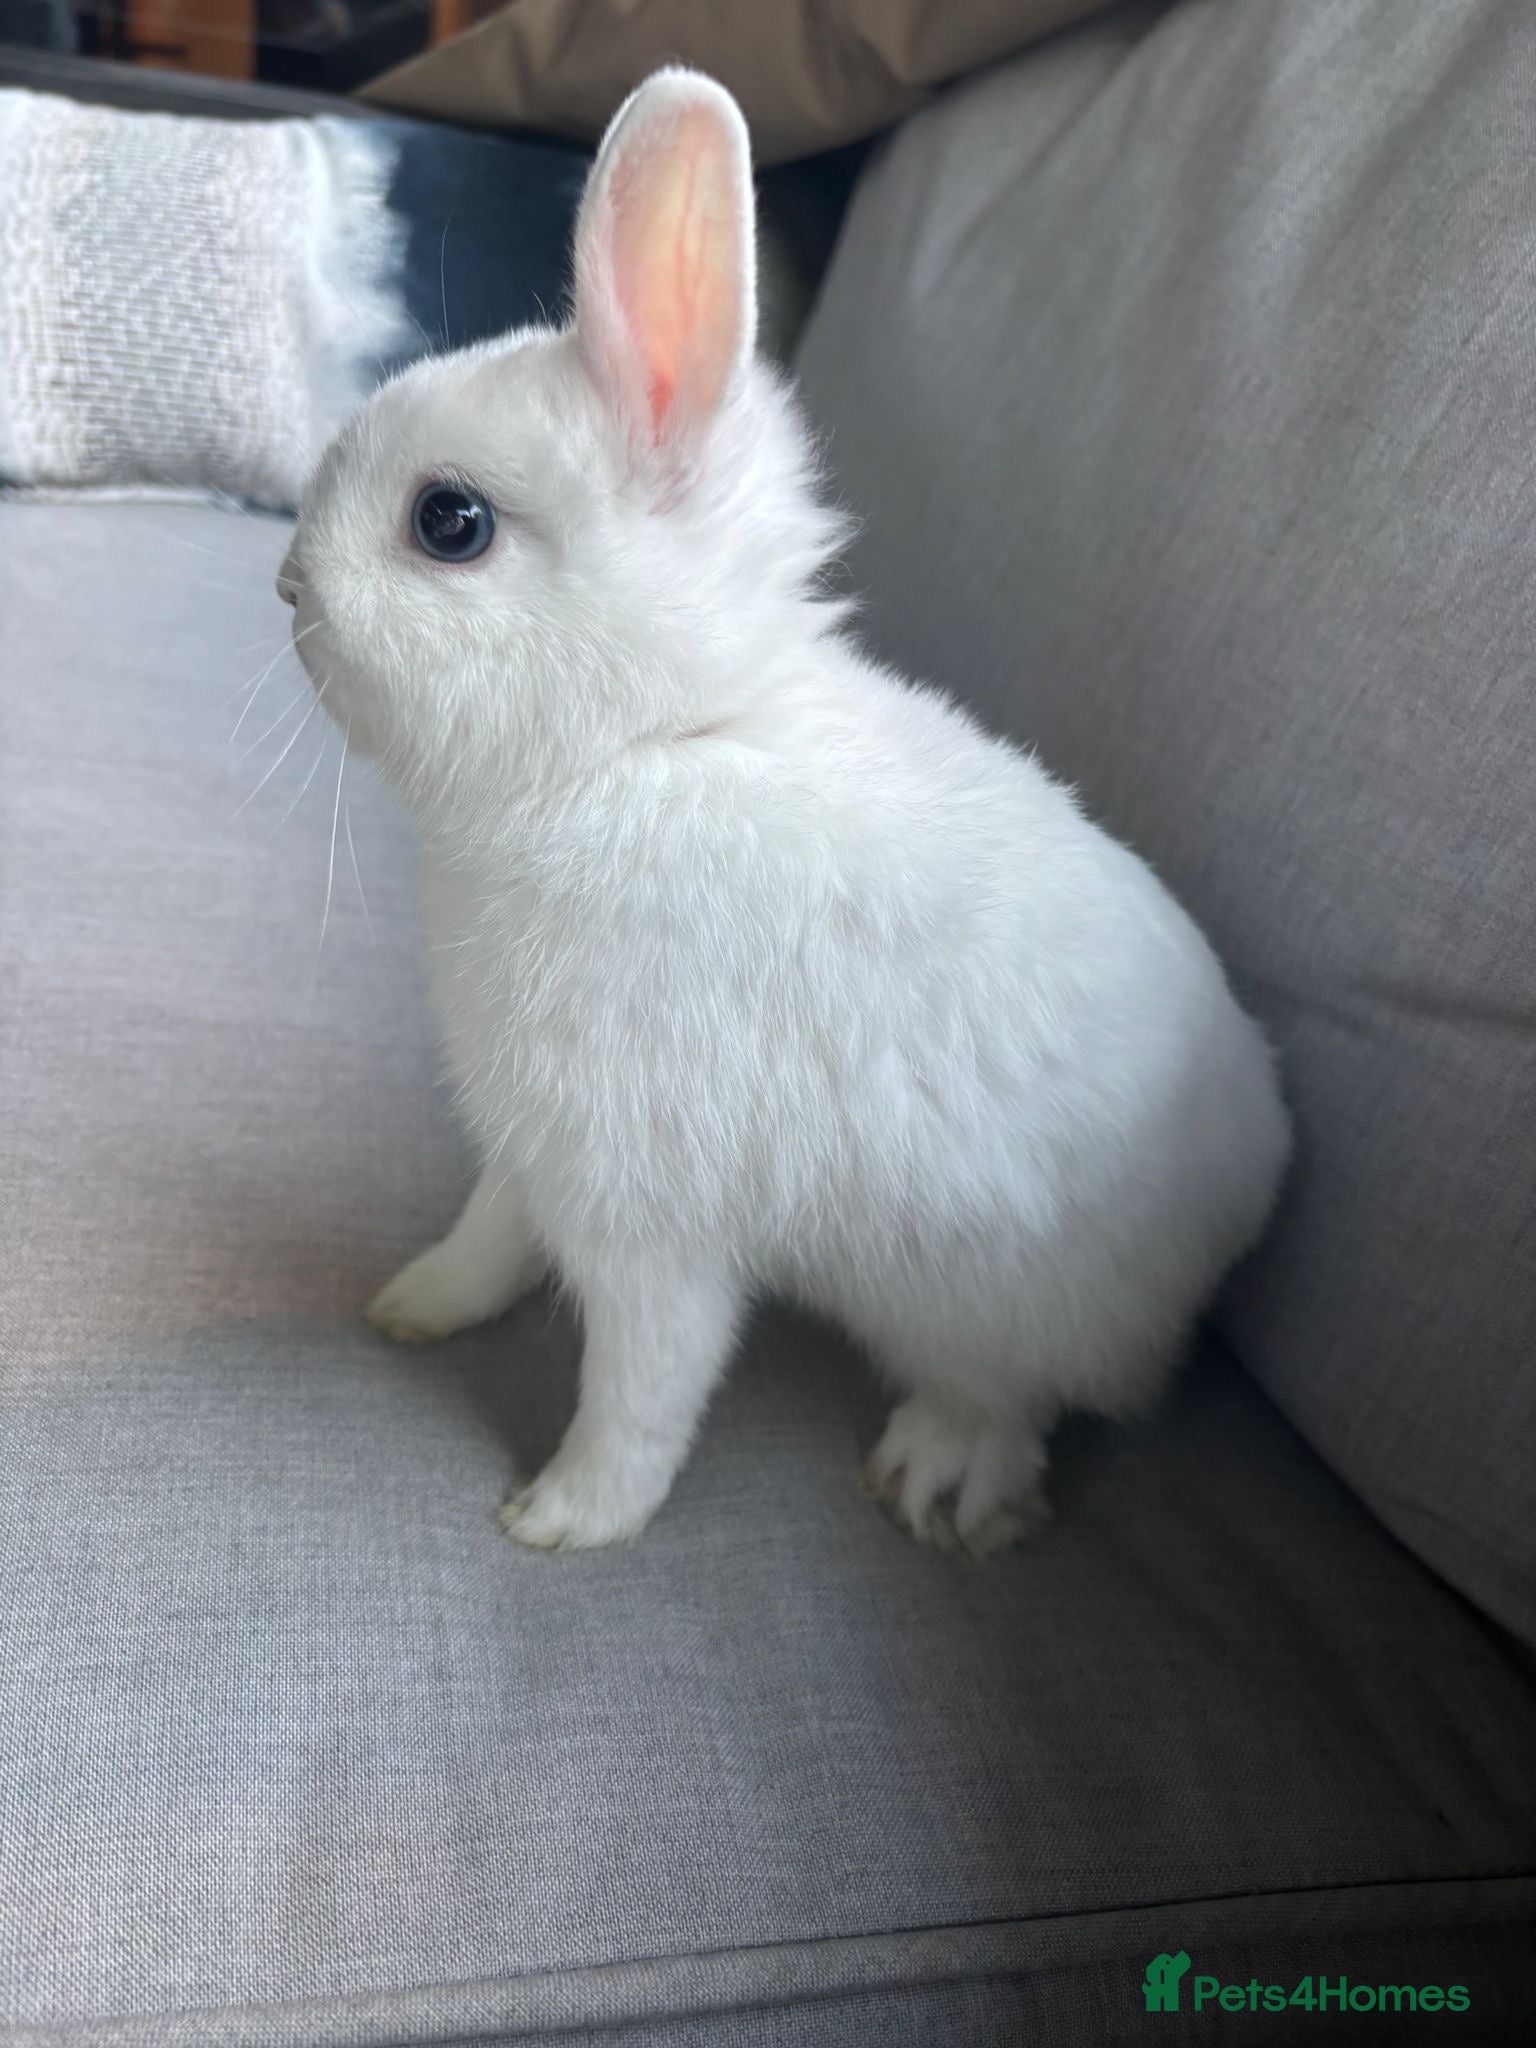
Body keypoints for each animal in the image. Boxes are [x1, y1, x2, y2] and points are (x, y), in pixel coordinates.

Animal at [276, 67, 1291, 1557]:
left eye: (449, 522)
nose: (286, 582)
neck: (644, 747)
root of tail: (1257, 1184)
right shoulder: (534, 1147)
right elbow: (490, 1237)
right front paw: (414, 1304)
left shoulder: (647, 1211)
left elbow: (643, 1383)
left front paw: (564, 1519)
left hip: (1002, 1306)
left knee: (1016, 1396)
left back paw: (942, 1481)